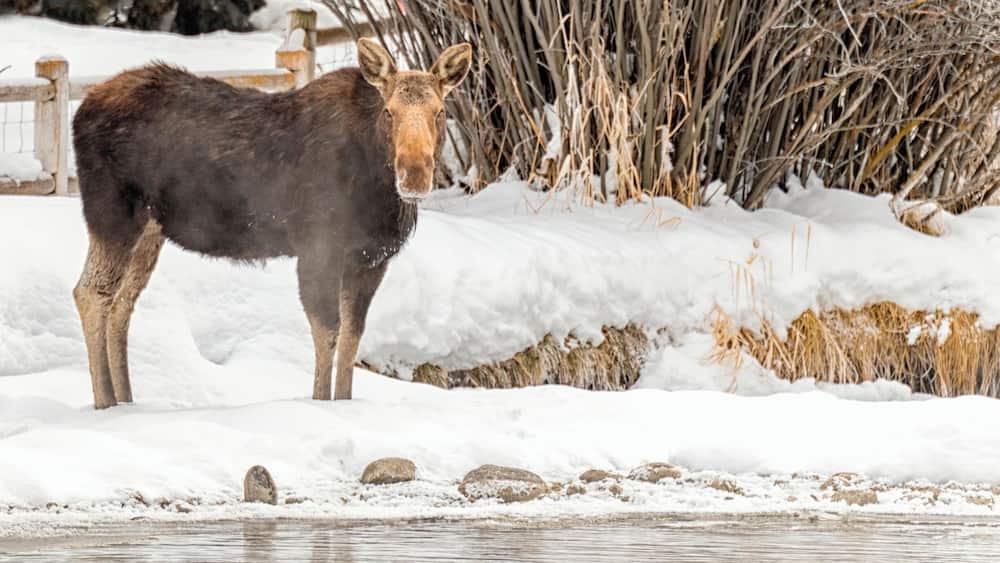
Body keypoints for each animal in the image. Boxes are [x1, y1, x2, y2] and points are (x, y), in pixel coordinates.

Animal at [71, 39, 472, 409]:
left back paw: (126, 400)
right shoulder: (317, 249)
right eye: (389, 112)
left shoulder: (370, 260)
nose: (414, 175)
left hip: (151, 228)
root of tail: (80, 112)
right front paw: (321, 403)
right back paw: (105, 402)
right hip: (113, 212)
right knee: (90, 293)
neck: (378, 193)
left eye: (439, 111)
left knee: (122, 302)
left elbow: (352, 338)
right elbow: (327, 332)